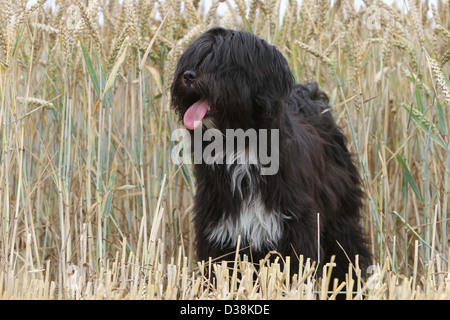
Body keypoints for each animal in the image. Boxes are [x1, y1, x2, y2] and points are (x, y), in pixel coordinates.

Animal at [169, 26, 370, 282]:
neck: (240, 146)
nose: (188, 76)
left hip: (339, 215)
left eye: (220, 63)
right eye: (194, 58)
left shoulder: (295, 230)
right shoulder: (219, 232)